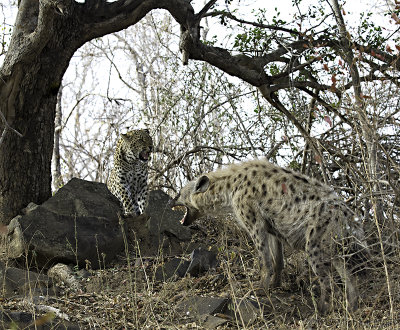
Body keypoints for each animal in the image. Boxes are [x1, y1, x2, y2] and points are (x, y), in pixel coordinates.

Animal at [170, 159, 368, 314]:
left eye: (179, 193)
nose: (171, 200)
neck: (230, 187)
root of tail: (350, 217)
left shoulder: (253, 221)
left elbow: (264, 260)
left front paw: (260, 289)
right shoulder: (272, 227)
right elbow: (277, 259)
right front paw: (274, 285)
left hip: (316, 240)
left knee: (327, 280)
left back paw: (321, 310)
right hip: (334, 244)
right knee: (348, 276)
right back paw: (352, 307)